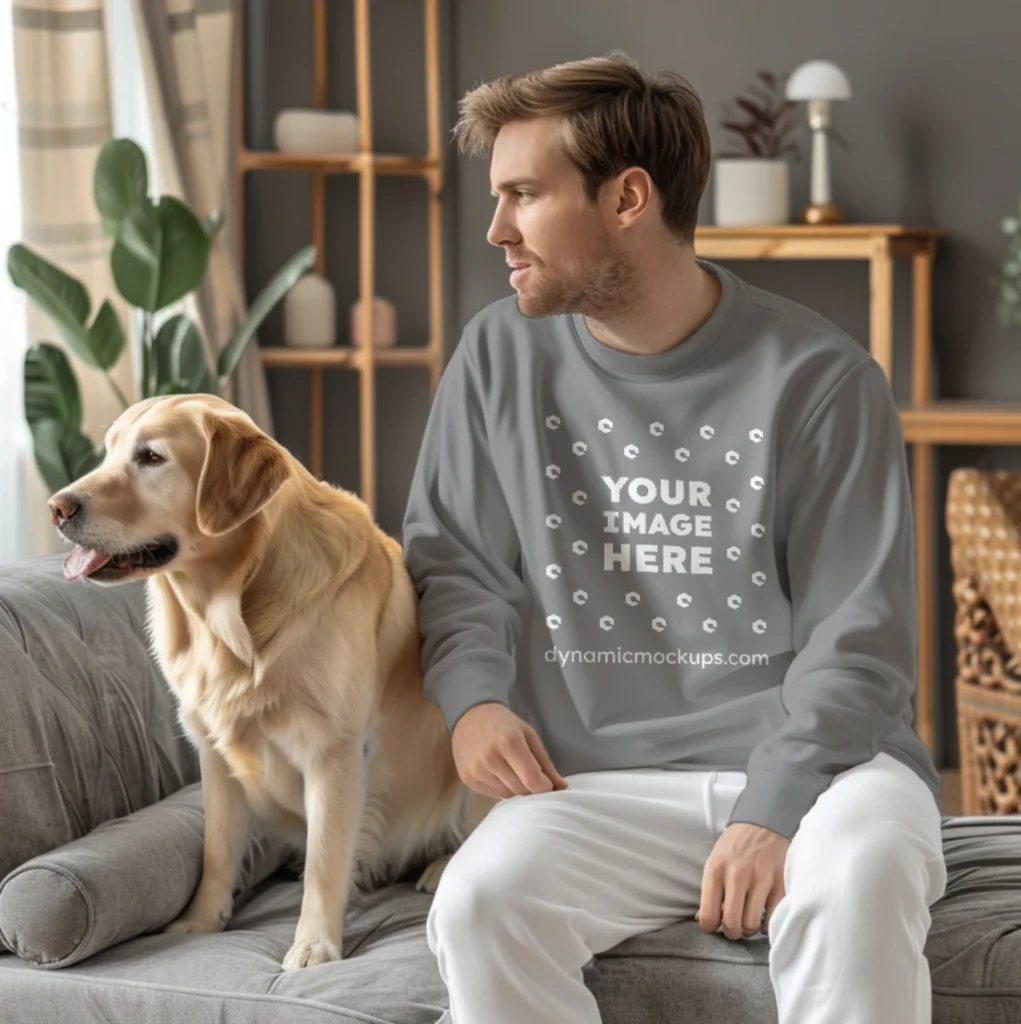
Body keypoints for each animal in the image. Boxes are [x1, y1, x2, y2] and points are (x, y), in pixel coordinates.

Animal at [47, 389, 493, 966]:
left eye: (151, 457)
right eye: (108, 452)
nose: (58, 507)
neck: (231, 609)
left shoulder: (334, 752)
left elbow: (326, 860)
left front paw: (314, 945)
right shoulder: (214, 754)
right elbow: (217, 850)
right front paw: (201, 921)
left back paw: (442, 866)